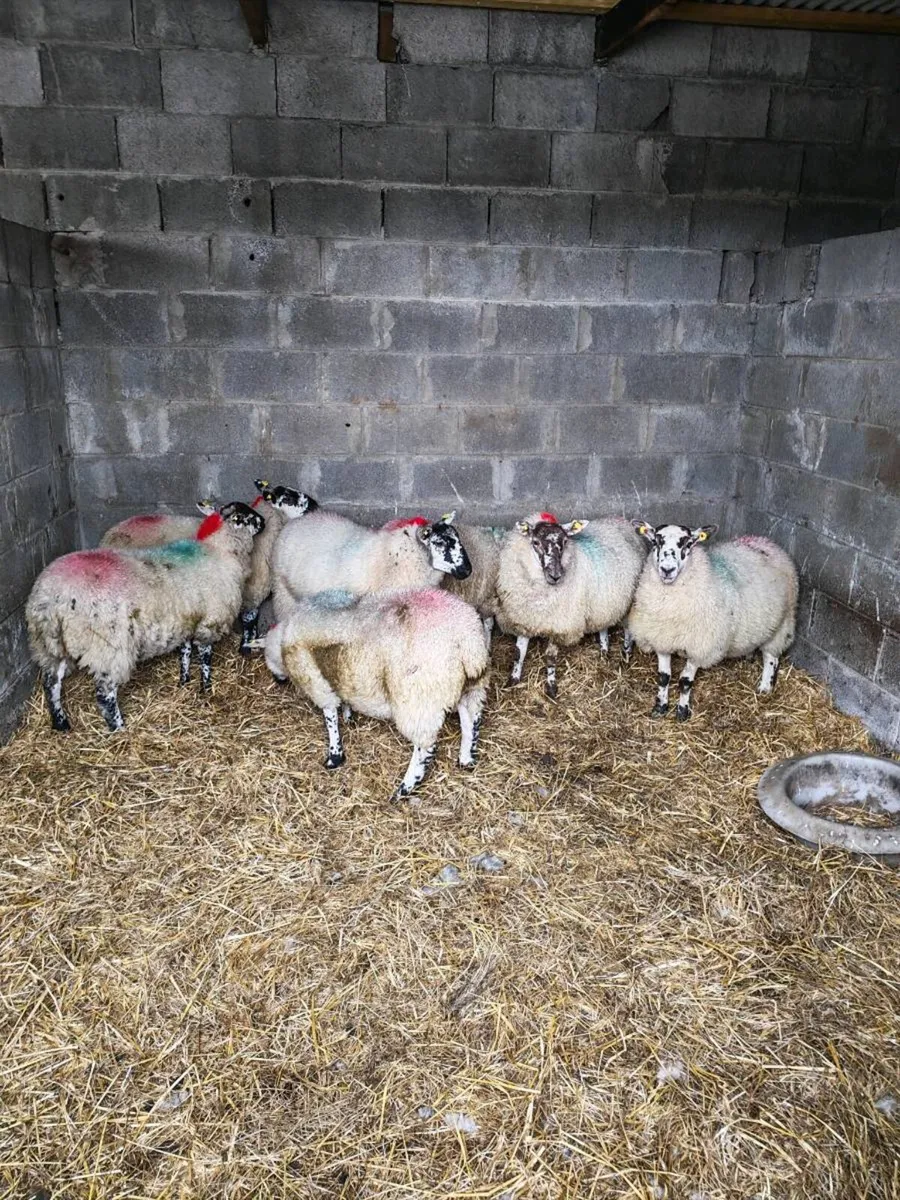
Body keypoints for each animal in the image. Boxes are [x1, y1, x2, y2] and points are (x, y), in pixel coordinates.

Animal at [26, 501, 265, 732]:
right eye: (247, 517)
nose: (263, 521)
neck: (219, 550)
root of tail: (52, 596)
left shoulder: (187, 619)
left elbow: (185, 652)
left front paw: (184, 681)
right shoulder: (210, 621)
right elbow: (205, 658)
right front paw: (206, 688)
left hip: (49, 644)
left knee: (51, 683)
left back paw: (61, 724)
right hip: (107, 647)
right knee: (105, 695)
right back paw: (119, 729)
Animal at [260, 587, 489, 800]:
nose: (277, 680)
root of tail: (467, 641)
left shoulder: (315, 680)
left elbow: (330, 716)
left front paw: (335, 755)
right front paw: (348, 714)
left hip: (418, 699)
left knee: (425, 746)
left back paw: (405, 787)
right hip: (472, 686)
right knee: (471, 719)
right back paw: (466, 758)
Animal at [496, 511, 646, 698]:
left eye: (565, 542)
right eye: (535, 542)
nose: (556, 575)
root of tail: (621, 520)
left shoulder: (559, 625)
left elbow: (550, 657)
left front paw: (551, 687)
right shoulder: (525, 618)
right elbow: (518, 653)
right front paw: (513, 679)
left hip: (630, 599)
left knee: (628, 629)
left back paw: (626, 654)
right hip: (603, 602)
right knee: (603, 625)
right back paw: (604, 651)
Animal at [627, 522, 799, 720]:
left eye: (688, 544)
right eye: (655, 541)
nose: (667, 569)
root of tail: (765, 541)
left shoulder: (700, 647)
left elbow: (685, 681)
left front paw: (682, 712)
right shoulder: (662, 640)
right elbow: (664, 677)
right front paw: (660, 707)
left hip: (782, 623)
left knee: (771, 657)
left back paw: (765, 687)